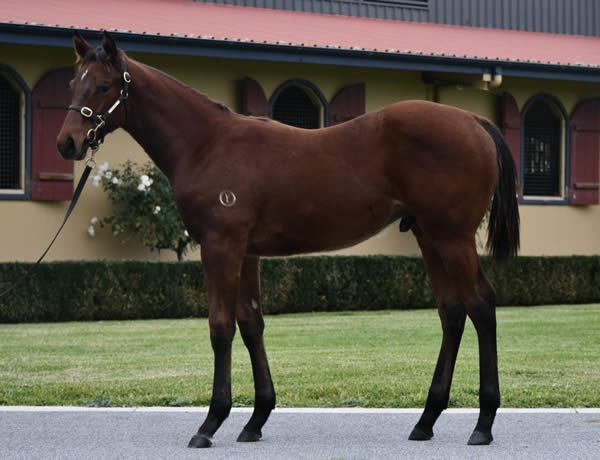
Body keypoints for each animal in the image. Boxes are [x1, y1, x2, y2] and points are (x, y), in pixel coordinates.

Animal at [55, 33, 520, 450]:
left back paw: (483, 423)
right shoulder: (246, 253)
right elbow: (251, 323)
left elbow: (221, 327)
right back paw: (426, 420)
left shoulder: (221, 246)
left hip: (452, 237)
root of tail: (474, 121)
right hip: (429, 236)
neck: (208, 144)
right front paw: (255, 419)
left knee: (480, 305)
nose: (67, 143)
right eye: (73, 83)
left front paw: (210, 423)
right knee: (452, 312)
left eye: (102, 86)